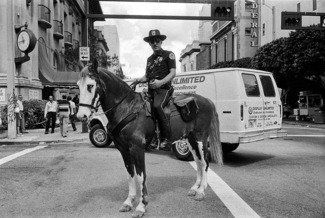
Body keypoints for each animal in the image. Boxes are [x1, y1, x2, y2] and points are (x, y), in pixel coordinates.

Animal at [76, 59, 223, 218]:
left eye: (90, 86)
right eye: (78, 85)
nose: (81, 116)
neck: (126, 108)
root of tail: (206, 100)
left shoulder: (137, 148)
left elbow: (141, 176)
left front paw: (141, 206)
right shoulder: (123, 149)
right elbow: (130, 174)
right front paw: (129, 201)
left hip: (201, 137)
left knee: (205, 161)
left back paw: (201, 191)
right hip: (190, 139)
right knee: (198, 161)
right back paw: (195, 188)